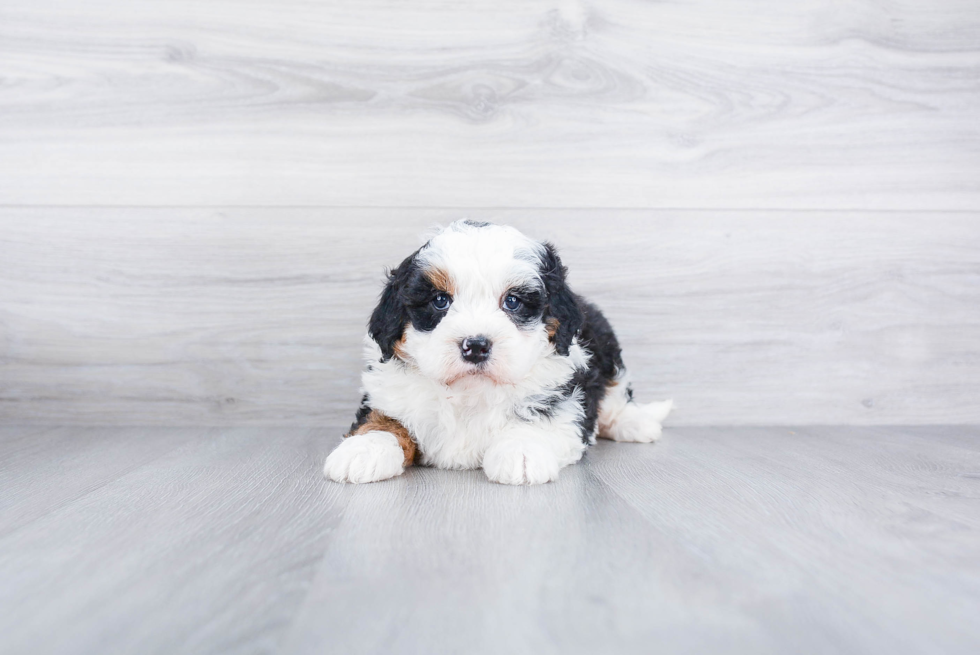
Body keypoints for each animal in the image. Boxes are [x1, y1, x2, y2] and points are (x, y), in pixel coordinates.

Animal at [326, 223, 668, 484]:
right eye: (439, 300)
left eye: (513, 302)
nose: (476, 345)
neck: (470, 393)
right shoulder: (388, 392)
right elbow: (381, 420)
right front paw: (364, 449)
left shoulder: (562, 395)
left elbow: (541, 418)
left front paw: (521, 452)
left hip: (608, 353)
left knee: (616, 396)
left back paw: (636, 424)